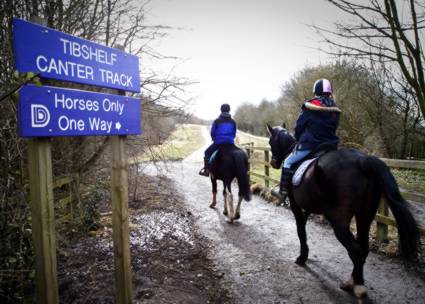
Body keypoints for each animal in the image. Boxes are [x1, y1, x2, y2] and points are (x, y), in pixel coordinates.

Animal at [266, 124, 420, 300]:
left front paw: (302, 257)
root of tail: (363, 161)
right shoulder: (309, 207)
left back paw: (358, 286)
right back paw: (352, 281)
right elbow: (303, 228)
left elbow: (300, 230)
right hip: (364, 216)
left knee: (355, 249)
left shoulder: (295, 205)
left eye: (270, 142)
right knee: (363, 247)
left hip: (339, 222)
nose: (274, 163)